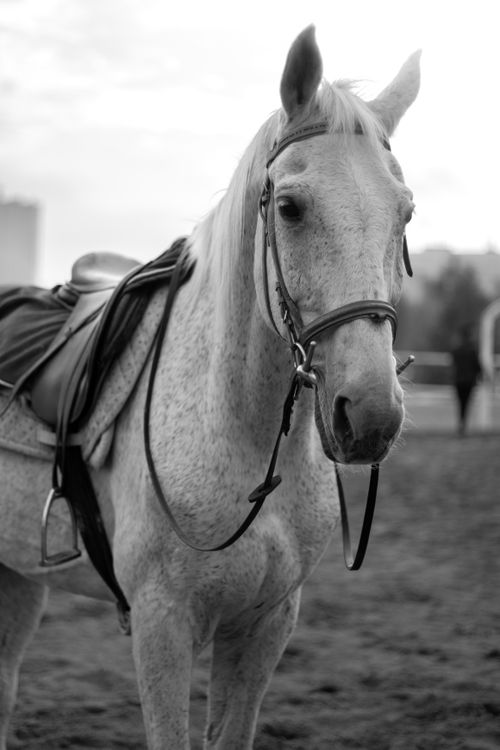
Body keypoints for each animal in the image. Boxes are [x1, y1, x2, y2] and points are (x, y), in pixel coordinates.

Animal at [0, 26, 420, 750]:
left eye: (406, 215)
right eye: (290, 207)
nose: (369, 417)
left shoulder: (266, 625)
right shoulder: (162, 626)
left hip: (20, 574)